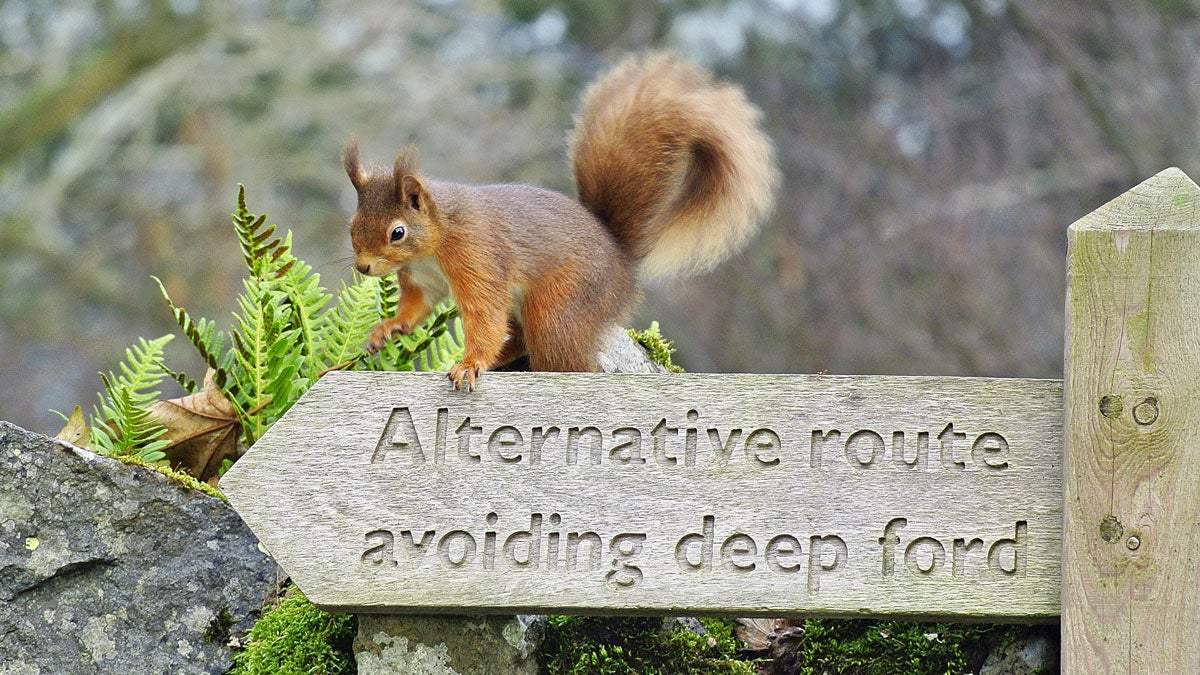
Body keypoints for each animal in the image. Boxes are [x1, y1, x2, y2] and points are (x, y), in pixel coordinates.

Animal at [342, 52, 778, 391]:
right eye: (352, 225)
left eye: (397, 232)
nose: (363, 267)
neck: (435, 242)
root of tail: (620, 259)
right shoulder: (423, 278)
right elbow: (416, 306)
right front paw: (387, 329)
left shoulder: (477, 258)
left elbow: (484, 316)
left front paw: (470, 365)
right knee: (519, 338)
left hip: (560, 305)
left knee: (559, 354)